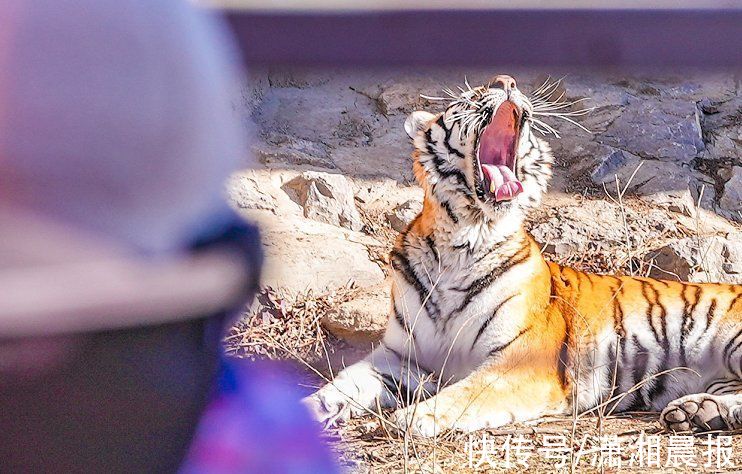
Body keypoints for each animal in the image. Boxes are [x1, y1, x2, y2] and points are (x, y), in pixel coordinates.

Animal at [300, 75, 742, 436]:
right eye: (469, 96)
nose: (506, 80)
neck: (463, 238)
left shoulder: (521, 362)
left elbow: (469, 392)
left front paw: (415, 417)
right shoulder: (399, 357)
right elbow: (341, 383)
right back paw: (697, 413)